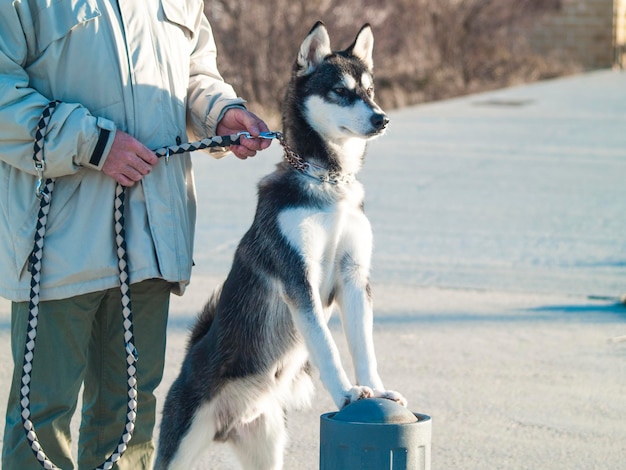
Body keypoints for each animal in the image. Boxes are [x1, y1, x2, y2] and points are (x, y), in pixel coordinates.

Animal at [155, 22, 404, 470]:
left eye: (370, 91)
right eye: (340, 91)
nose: (382, 118)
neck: (327, 182)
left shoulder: (354, 278)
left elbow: (364, 346)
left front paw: (376, 389)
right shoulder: (298, 280)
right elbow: (326, 346)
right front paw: (346, 393)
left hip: (268, 445)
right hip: (180, 443)